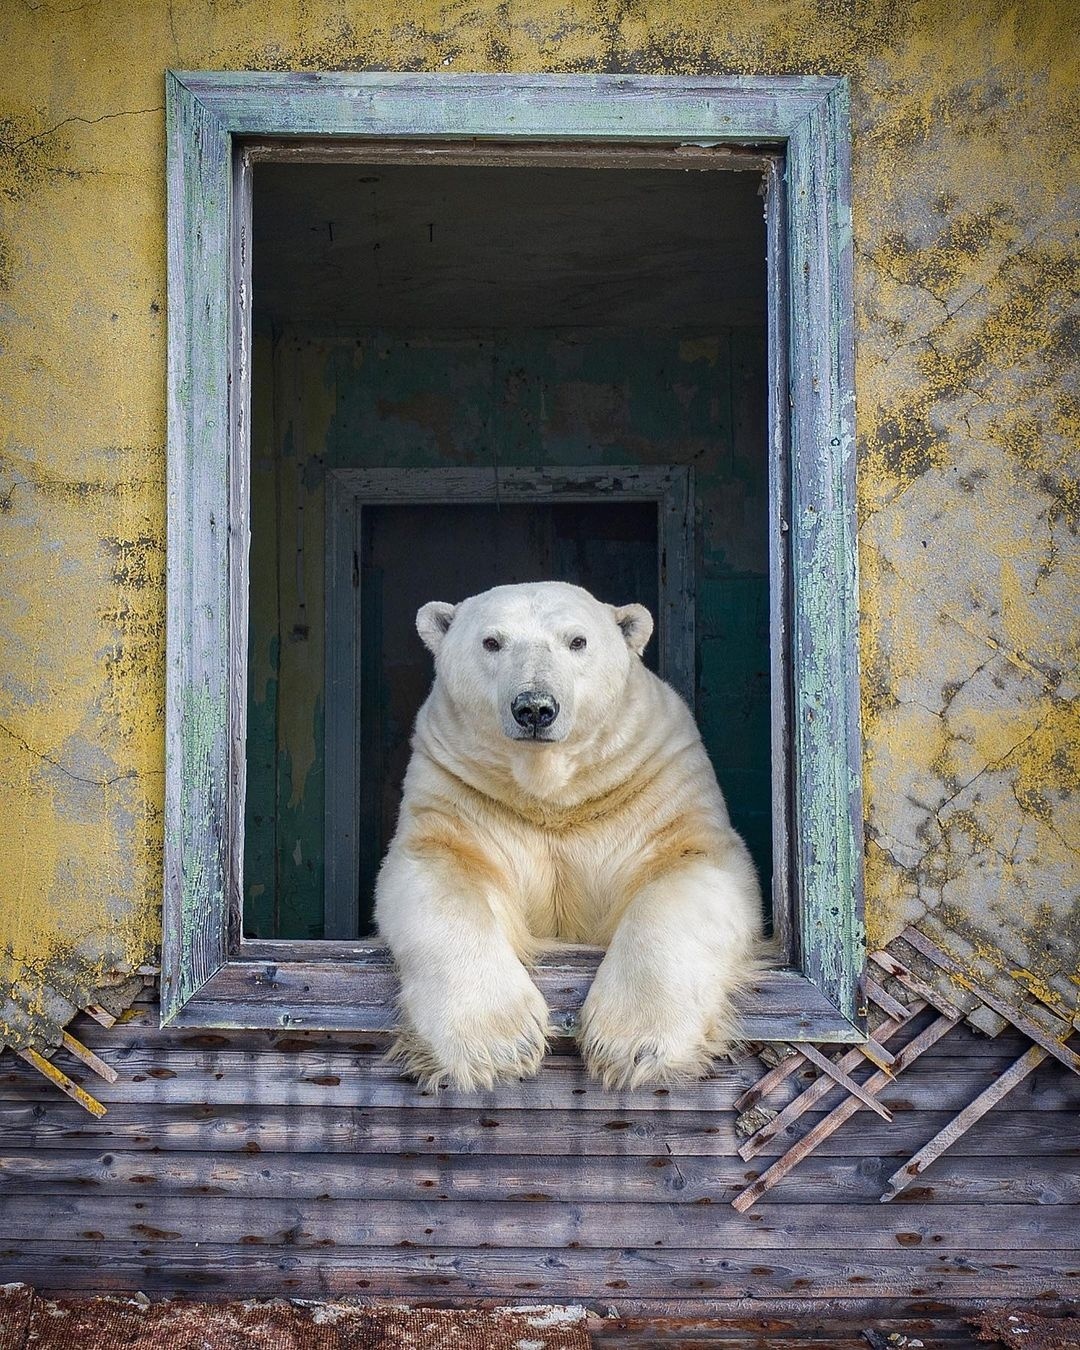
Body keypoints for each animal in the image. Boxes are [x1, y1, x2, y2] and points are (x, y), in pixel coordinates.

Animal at [375, 580, 761, 1085]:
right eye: (492, 642)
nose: (535, 708)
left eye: (577, 641)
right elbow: (439, 872)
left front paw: (632, 1044)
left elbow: (691, 868)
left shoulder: (654, 782)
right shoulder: (459, 792)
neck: (553, 796)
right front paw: (498, 1045)